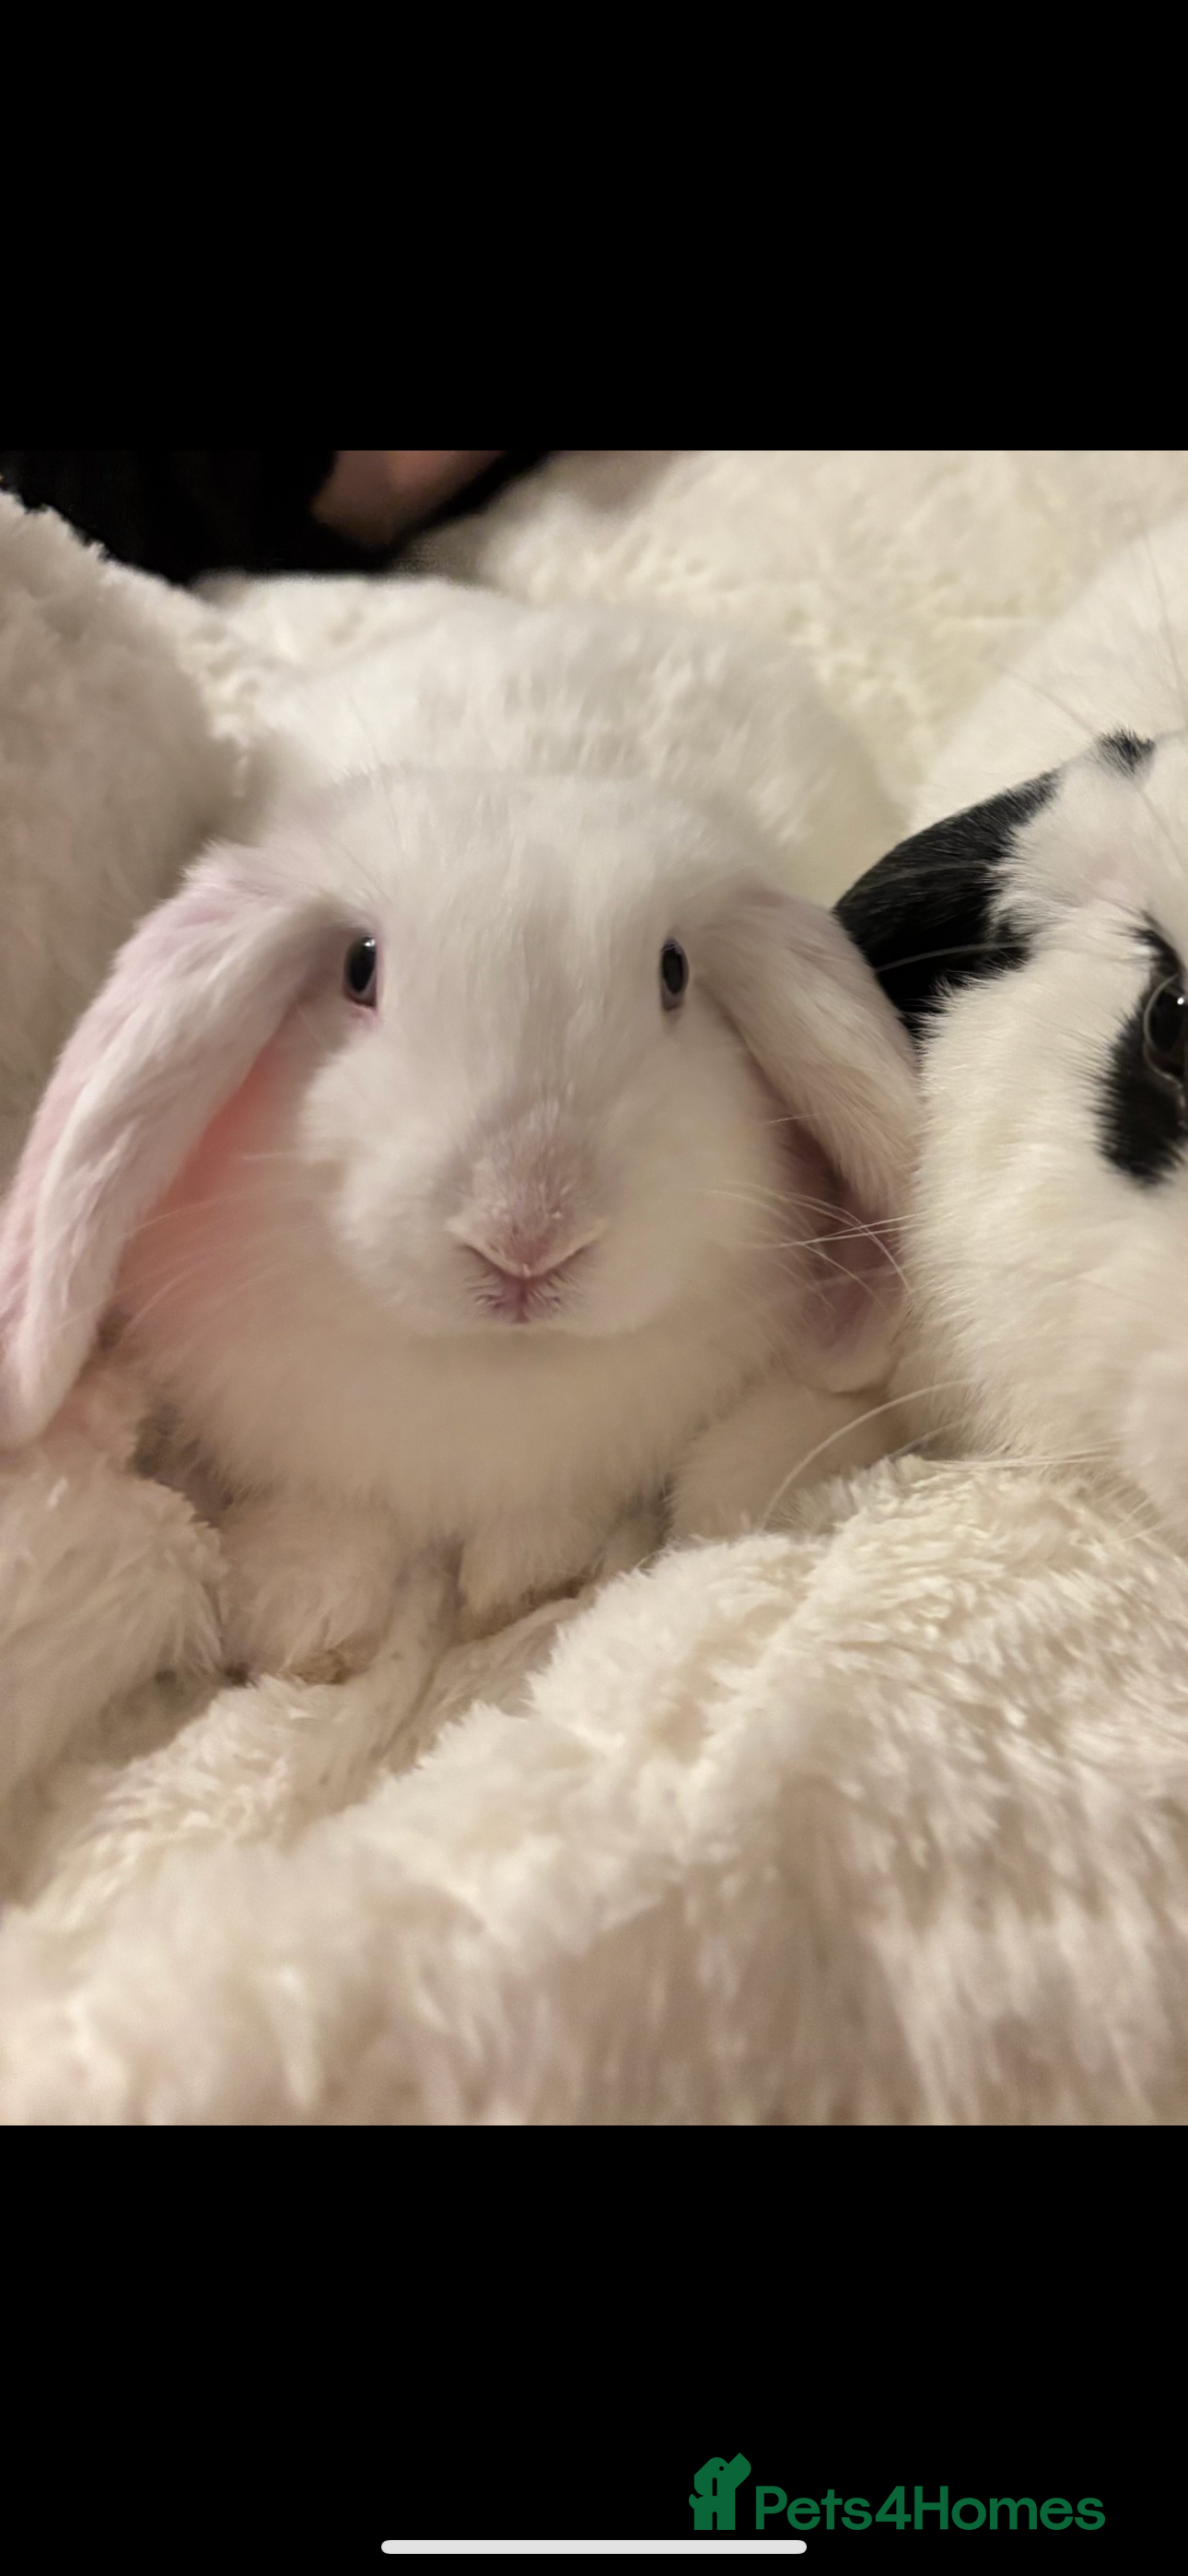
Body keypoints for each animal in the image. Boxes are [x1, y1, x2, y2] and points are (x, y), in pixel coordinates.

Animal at [0, 766, 916, 1679]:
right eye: (358, 967)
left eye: (675, 971)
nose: (528, 1237)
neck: (488, 1367)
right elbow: (329, 1515)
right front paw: (303, 1625)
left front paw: (522, 1579)